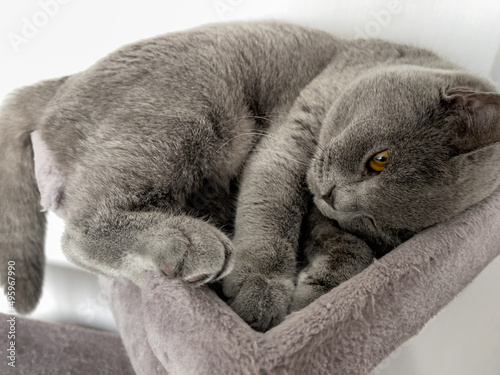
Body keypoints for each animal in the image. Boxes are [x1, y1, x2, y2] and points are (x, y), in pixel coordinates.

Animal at [0, 21, 500, 332]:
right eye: (379, 159)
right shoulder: (292, 137)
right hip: (193, 109)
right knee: (77, 232)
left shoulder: (325, 217)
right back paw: (187, 243)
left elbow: (349, 249)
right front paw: (260, 291)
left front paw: (315, 293)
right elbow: (272, 213)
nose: (334, 197)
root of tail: (65, 82)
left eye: (380, 224)